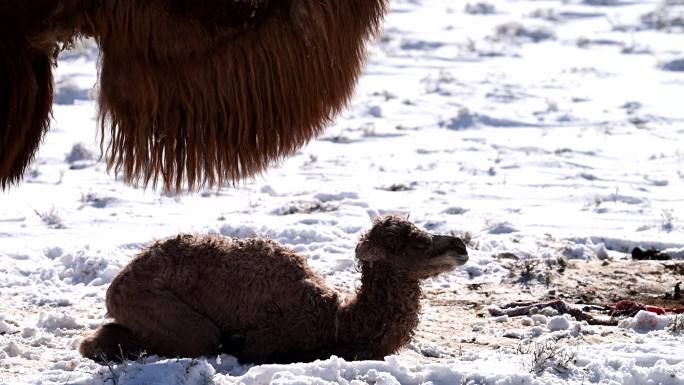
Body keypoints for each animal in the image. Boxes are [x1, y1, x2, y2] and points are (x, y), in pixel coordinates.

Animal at [79, 216, 464, 364]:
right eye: (415, 242)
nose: (460, 245)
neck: (337, 320)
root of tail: (117, 283)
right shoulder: (267, 341)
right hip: (162, 308)